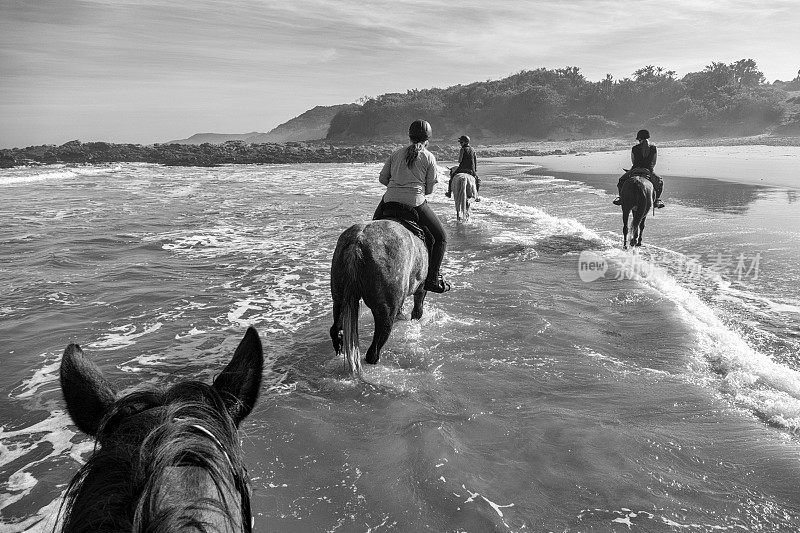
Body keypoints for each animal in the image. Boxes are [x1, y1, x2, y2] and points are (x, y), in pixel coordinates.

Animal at [332, 216, 432, 374]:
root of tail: (357, 243)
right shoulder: (421, 289)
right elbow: (417, 311)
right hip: (385, 309)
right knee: (376, 346)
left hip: (339, 298)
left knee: (335, 328)